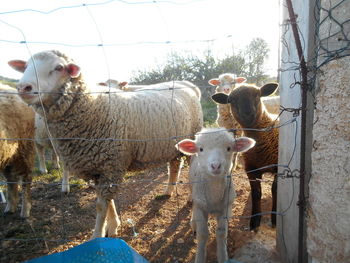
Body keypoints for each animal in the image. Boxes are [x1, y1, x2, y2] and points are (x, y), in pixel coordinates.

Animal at [0, 83, 36, 218]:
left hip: (24, 148)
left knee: (26, 178)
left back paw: (25, 210)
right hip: (9, 154)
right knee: (11, 179)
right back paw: (10, 207)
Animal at [8, 50, 204, 240]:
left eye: (59, 67)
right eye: (25, 66)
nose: (23, 87)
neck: (90, 109)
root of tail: (187, 83)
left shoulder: (110, 165)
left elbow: (101, 206)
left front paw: (97, 236)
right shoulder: (99, 167)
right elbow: (108, 203)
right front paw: (113, 226)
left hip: (193, 138)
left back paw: (192, 205)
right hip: (173, 145)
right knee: (174, 165)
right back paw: (168, 191)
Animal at [176, 128, 256, 263]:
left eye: (229, 148)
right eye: (201, 149)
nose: (216, 165)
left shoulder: (225, 208)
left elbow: (221, 233)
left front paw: (223, 256)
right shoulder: (200, 206)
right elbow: (203, 234)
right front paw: (200, 257)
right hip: (194, 192)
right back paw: (193, 224)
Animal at [211, 82, 278, 231]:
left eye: (258, 94)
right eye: (231, 100)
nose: (247, 114)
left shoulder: (279, 167)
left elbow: (275, 189)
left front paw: (275, 218)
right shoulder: (251, 169)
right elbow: (256, 193)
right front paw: (254, 220)